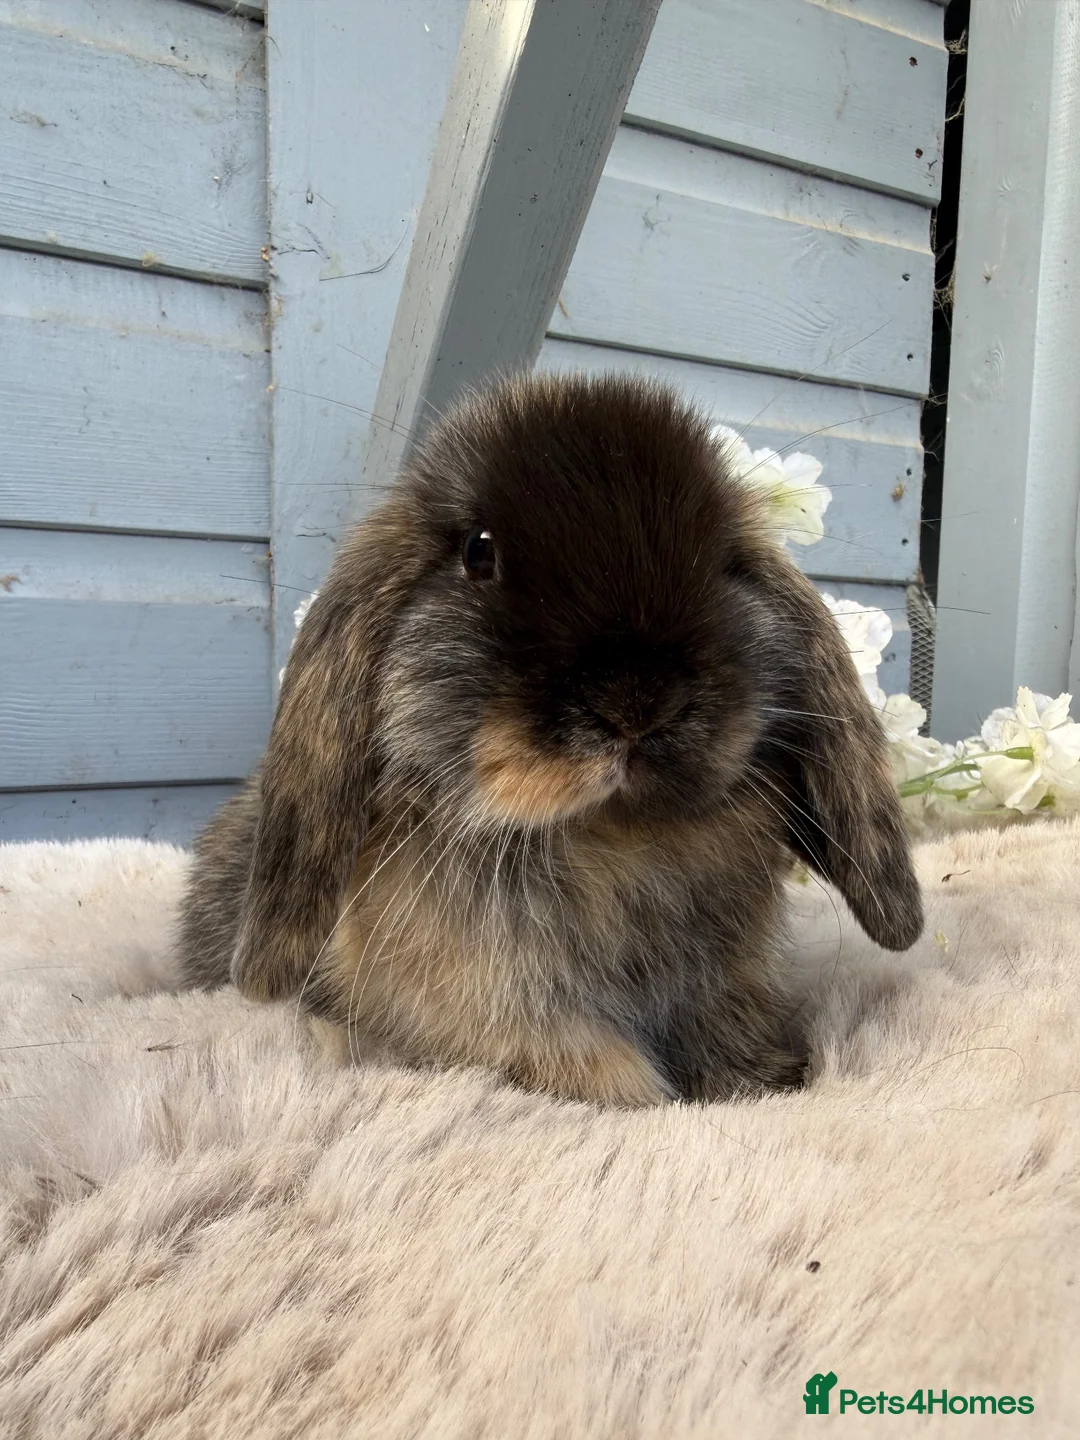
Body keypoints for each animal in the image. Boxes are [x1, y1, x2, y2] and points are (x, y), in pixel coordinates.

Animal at [177, 373, 922, 1107]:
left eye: (724, 563)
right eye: (479, 552)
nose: (635, 700)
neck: (610, 835)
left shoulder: (728, 983)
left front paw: (762, 1079)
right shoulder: (495, 1015)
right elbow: (595, 1069)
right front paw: (649, 1096)